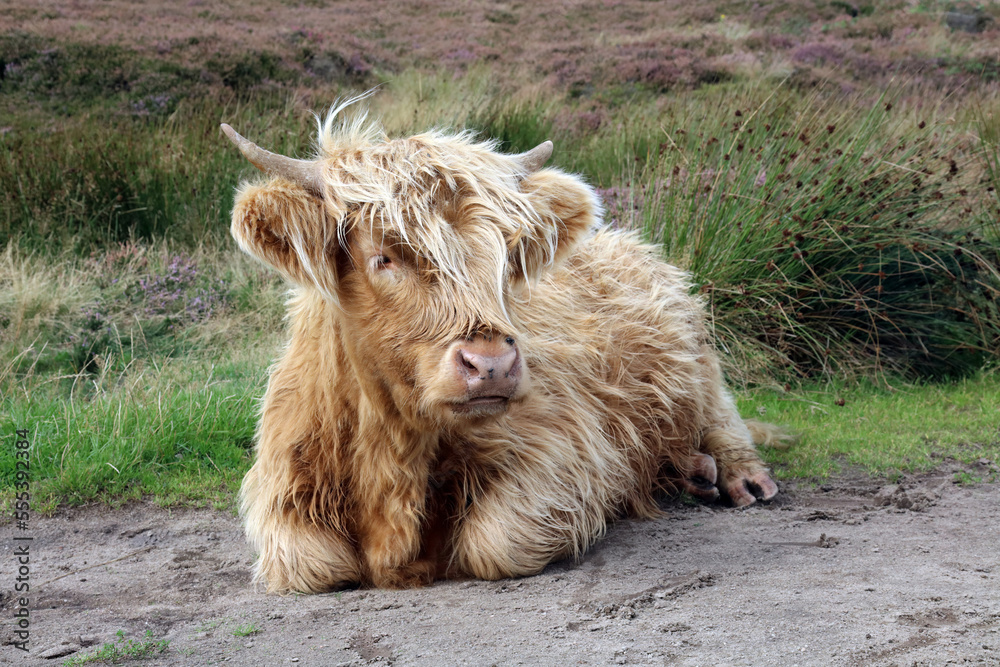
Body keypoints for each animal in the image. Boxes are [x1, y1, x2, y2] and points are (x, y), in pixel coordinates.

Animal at [223, 98, 784, 593]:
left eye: (504, 255)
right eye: (383, 257)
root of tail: (630, 243)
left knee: (720, 412)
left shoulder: (564, 452)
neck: (392, 450)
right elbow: (311, 563)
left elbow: (495, 544)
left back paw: (740, 476)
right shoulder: (286, 500)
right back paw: (692, 472)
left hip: (696, 354)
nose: (491, 365)